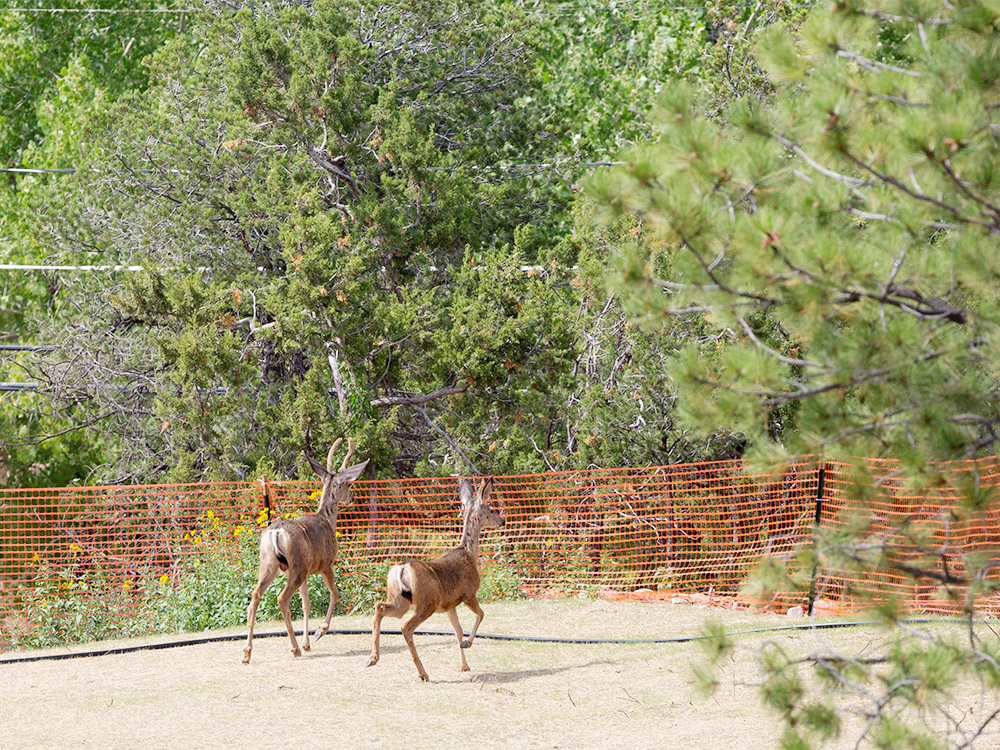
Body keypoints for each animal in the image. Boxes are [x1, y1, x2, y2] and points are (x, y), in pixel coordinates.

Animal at [242, 438, 369, 664]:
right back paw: (294, 649)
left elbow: (306, 604)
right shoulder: (325, 564)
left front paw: (307, 643)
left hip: (269, 563)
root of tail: (275, 532)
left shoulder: (308, 572)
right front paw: (319, 632)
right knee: (282, 598)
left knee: (255, 596)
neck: (327, 519)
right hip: (297, 566)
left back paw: (247, 653)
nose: (352, 498)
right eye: (348, 483)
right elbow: (335, 593)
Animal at [366, 476, 504, 681]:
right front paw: (467, 644)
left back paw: (372, 659)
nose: (503, 520)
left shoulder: (449, 605)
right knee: (406, 627)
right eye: (492, 509)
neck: (469, 553)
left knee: (379, 607)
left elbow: (458, 630)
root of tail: (402, 568)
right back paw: (423, 673)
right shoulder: (469, 594)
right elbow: (481, 614)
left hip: (400, 600)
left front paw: (464, 666)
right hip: (427, 602)